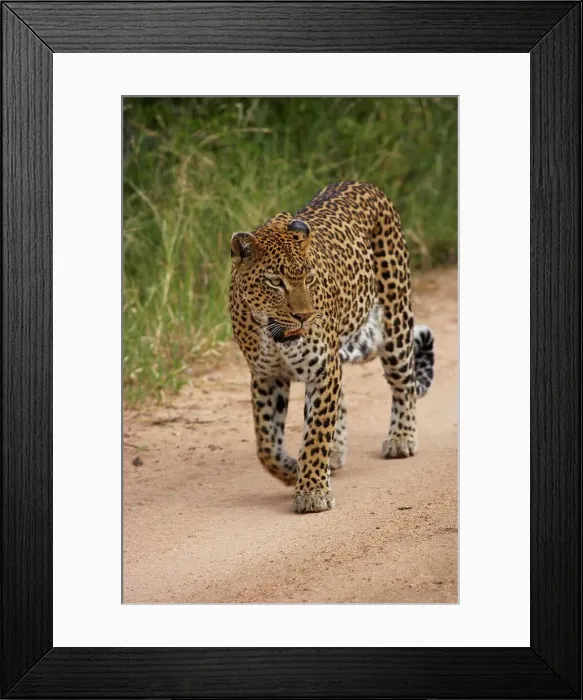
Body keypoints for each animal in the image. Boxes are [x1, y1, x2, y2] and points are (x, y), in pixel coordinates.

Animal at [229, 182, 435, 514]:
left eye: (309, 277)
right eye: (275, 282)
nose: (305, 316)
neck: (272, 336)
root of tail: (364, 183)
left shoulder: (323, 369)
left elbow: (315, 432)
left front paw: (312, 491)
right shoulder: (266, 375)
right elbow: (266, 445)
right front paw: (292, 469)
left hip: (395, 323)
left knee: (404, 383)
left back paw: (401, 439)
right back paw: (335, 454)